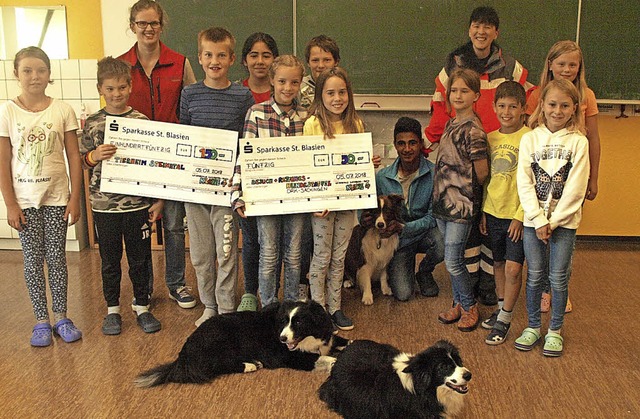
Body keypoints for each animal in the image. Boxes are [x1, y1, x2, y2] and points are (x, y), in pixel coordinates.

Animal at [132, 302, 348, 388]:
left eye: (298, 323)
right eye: (284, 321)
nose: (282, 339)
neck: (310, 337)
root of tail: (183, 354)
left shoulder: (327, 339)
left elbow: (341, 342)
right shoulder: (290, 356)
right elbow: (324, 358)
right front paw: (335, 362)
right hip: (222, 342)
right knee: (217, 366)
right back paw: (251, 365)